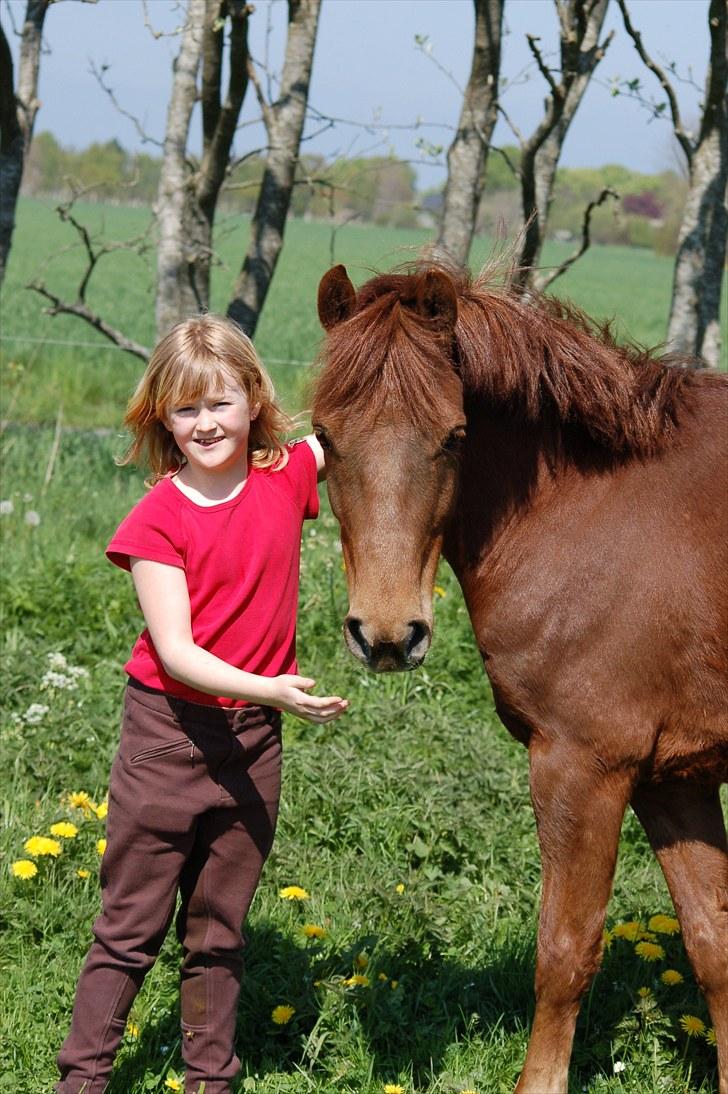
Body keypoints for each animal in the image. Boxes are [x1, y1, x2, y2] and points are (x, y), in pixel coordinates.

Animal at [310, 260, 726, 1089]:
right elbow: (714, 947)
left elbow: (564, 953)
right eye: (326, 436)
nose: (387, 635)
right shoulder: (677, 777)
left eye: (455, 436)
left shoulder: (584, 768)